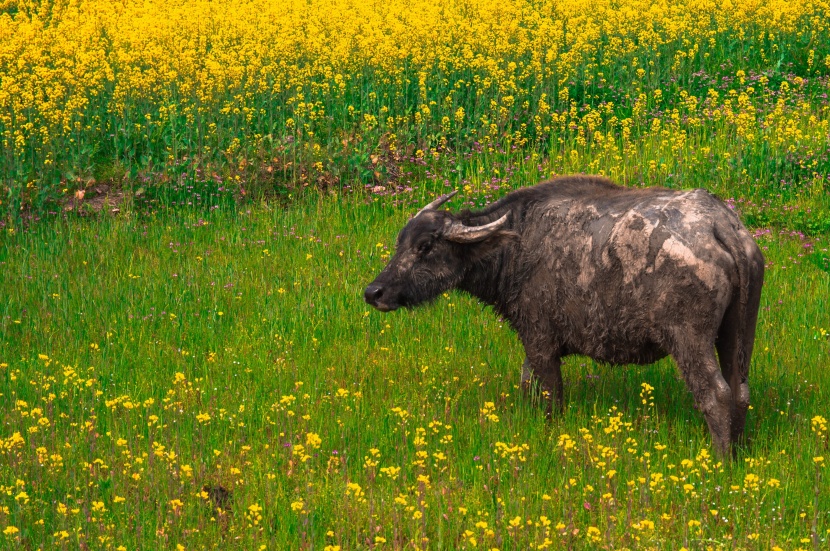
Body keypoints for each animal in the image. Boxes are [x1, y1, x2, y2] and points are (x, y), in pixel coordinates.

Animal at [364, 177, 768, 458]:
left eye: (425, 246)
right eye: (401, 242)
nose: (374, 292)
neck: (516, 245)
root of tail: (721, 225)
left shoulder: (540, 341)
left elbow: (550, 395)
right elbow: (526, 383)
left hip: (689, 339)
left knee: (716, 394)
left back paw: (720, 458)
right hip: (737, 333)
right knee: (740, 391)